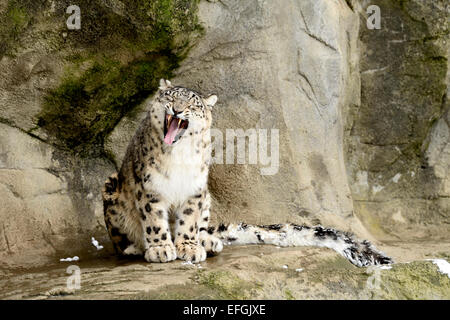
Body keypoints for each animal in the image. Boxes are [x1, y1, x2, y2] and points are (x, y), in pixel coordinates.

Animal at [103, 78, 392, 268]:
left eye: (193, 105)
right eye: (170, 97)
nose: (177, 109)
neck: (180, 155)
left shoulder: (195, 191)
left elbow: (188, 222)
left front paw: (188, 247)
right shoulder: (150, 188)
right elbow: (155, 221)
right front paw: (162, 248)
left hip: (207, 198)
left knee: (204, 227)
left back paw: (208, 242)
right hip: (112, 188)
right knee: (121, 239)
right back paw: (135, 247)